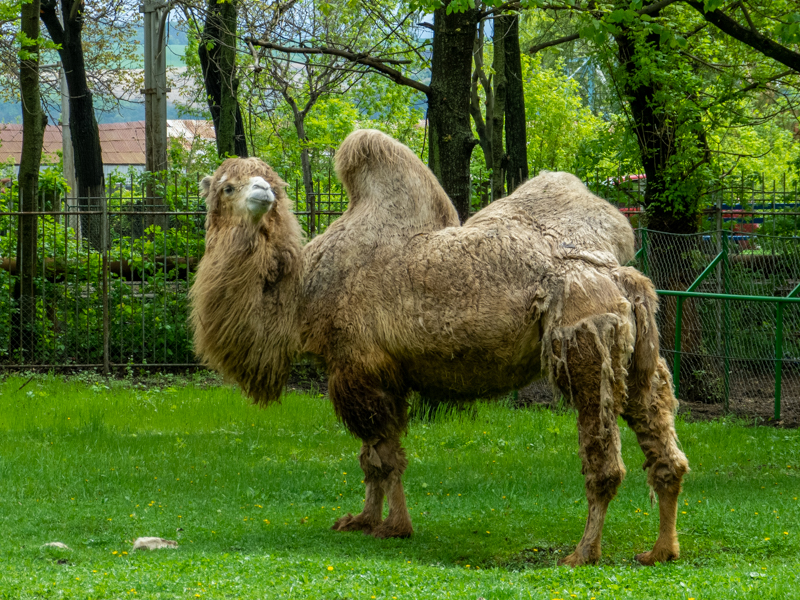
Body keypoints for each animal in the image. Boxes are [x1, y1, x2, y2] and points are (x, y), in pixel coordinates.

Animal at [189, 129, 689, 567]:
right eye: (228, 186)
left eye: (267, 183)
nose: (263, 194)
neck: (302, 296)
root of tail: (619, 273)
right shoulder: (379, 373)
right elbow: (372, 458)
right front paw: (362, 520)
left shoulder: (357, 366)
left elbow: (383, 455)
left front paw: (394, 527)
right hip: (637, 352)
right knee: (662, 435)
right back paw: (661, 550)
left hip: (584, 335)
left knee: (603, 457)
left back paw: (583, 553)